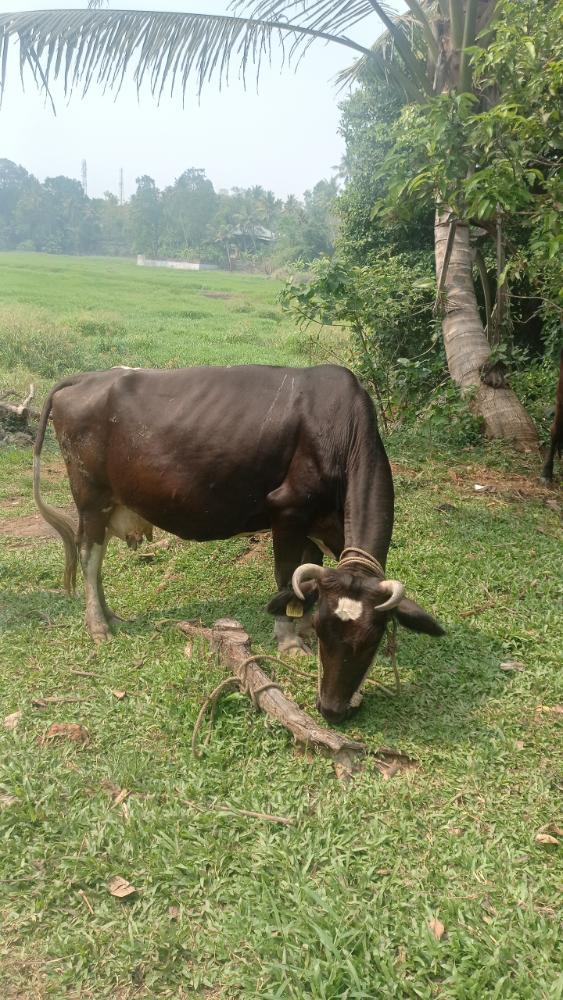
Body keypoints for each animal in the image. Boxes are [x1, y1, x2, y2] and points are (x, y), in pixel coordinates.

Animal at [33, 364, 444, 724]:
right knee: (88, 555)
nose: (331, 710)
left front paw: (301, 625)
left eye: (372, 640)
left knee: (95, 557)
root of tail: (86, 377)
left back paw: (110, 615)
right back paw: (98, 626)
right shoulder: (288, 508)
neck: (340, 432)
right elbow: (286, 576)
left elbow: (305, 577)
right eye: (327, 635)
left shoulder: (316, 526)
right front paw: (288, 640)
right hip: (91, 498)